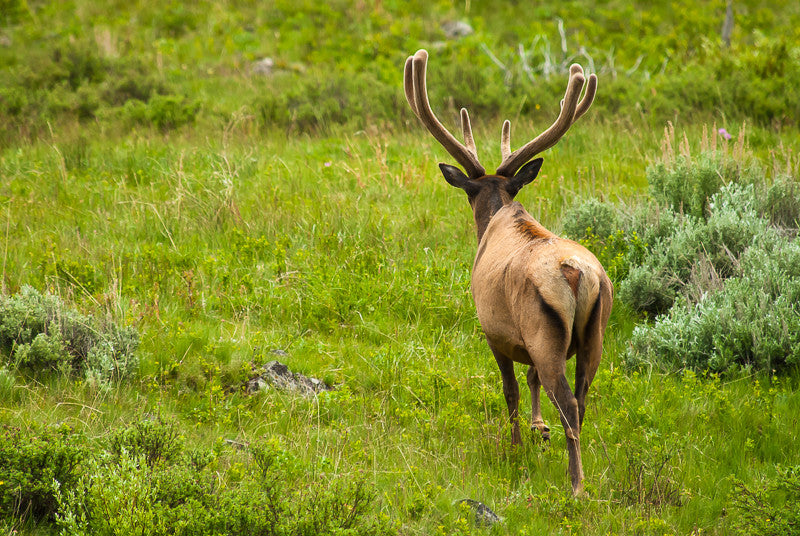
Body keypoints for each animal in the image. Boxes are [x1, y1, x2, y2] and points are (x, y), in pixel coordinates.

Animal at [404, 49, 613, 495]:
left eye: (469, 192)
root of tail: (580, 276)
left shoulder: (494, 331)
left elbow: (511, 390)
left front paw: (516, 445)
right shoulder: (527, 343)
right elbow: (530, 381)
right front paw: (539, 429)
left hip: (544, 331)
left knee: (567, 400)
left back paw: (576, 485)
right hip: (593, 335)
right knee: (582, 397)